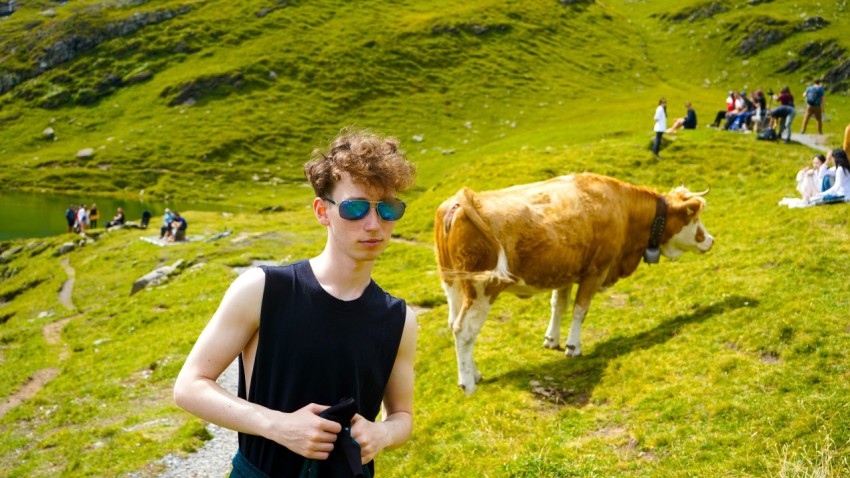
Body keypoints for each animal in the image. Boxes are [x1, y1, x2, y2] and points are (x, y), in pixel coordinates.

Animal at [434, 174, 712, 394]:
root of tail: (463, 199)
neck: (622, 208)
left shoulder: (564, 271)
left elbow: (558, 305)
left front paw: (552, 339)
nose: (711, 240)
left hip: (453, 284)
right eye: (694, 218)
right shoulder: (596, 271)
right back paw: (467, 383)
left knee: (454, 325)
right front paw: (573, 346)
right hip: (482, 288)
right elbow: (580, 309)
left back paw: (475, 373)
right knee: (464, 330)